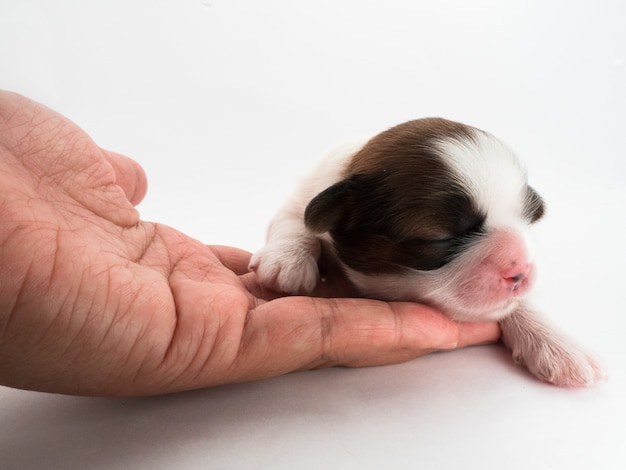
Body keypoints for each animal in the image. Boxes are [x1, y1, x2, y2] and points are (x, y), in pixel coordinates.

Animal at [249, 117, 604, 386]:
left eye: (529, 219)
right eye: (440, 239)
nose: (522, 271)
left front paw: (558, 343)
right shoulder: (304, 194)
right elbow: (294, 221)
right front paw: (287, 261)